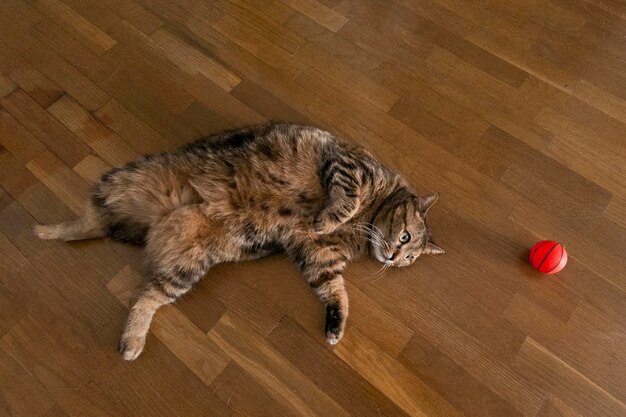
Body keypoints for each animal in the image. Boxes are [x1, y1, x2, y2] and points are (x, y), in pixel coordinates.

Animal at [34, 122, 444, 360]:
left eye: (410, 257)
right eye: (405, 237)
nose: (394, 258)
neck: (367, 224)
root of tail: (155, 219)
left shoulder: (318, 255)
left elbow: (335, 292)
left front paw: (335, 325)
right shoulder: (348, 167)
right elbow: (345, 201)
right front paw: (327, 217)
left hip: (183, 263)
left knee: (141, 291)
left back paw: (130, 339)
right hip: (127, 177)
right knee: (93, 222)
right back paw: (47, 231)